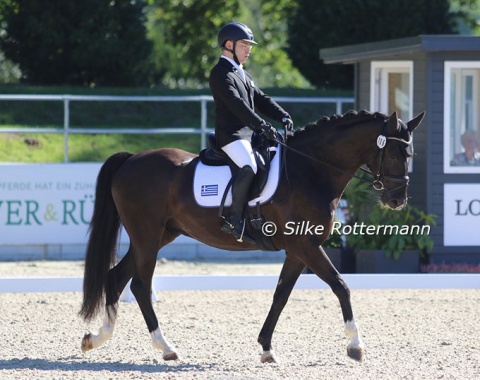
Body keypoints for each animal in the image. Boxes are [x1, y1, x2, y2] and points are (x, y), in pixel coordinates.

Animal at [80, 109, 426, 362]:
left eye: (411, 153)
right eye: (394, 152)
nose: (398, 200)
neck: (310, 171)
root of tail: (131, 159)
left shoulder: (299, 250)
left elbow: (281, 295)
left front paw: (266, 348)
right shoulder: (306, 245)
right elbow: (341, 285)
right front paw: (355, 346)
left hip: (158, 235)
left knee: (116, 277)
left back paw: (96, 338)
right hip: (147, 236)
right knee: (139, 285)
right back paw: (165, 347)